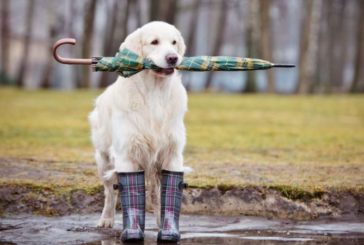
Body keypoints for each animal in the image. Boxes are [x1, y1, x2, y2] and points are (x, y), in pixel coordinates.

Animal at [88, 22, 188, 229]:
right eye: (154, 42)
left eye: (174, 42)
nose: (173, 58)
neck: (155, 92)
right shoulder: (127, 154)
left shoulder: (172, 154)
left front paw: (167, 226)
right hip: (103, 159)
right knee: (110, 192)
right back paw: (106, 219)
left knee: (155, 194)